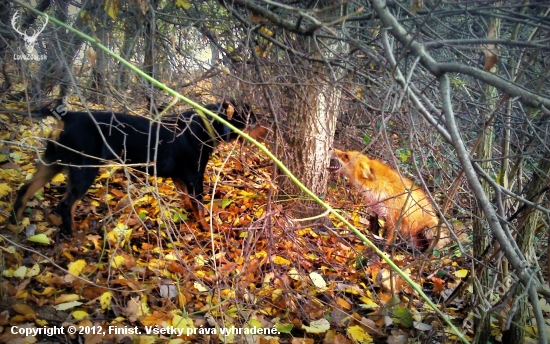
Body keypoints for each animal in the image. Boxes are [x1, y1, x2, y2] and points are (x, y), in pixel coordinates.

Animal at [10, 99, 256, 234]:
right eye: (251, 119)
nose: (263, 127)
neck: (205, 125)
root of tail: (68, 116)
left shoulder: (180, 176)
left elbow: (188, 200)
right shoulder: (196, 176)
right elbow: (201, 206)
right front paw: (208, 229)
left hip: (52, 162)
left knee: (25, 189)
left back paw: (15, 223)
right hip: (84, 168)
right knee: (66, 205)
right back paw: (74, 236)